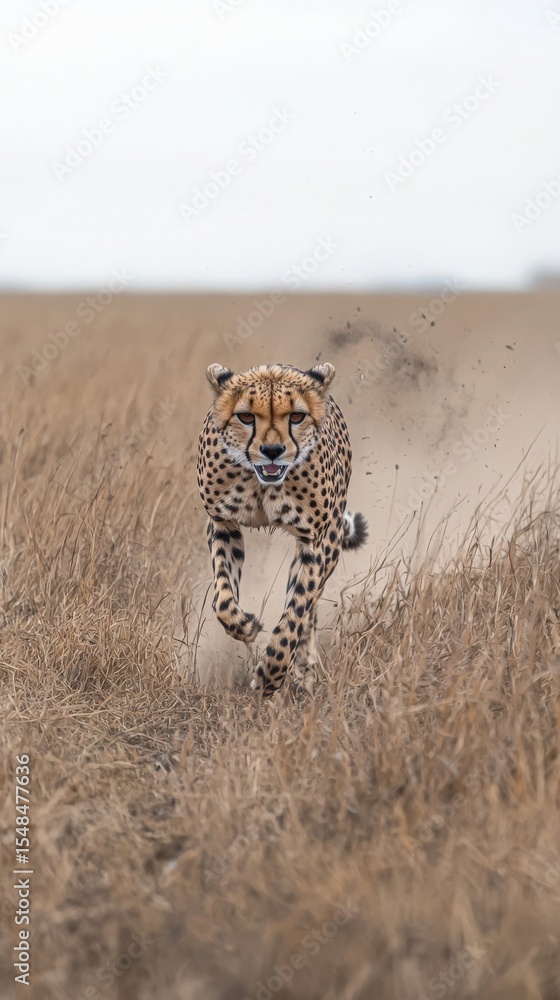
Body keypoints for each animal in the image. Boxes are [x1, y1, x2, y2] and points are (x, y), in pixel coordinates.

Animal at [196, 362, 368, 697]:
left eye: (297, 417)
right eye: (246, 417)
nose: (272, 450)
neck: (261, 482)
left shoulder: (315, 543)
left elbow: (296, 612)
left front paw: (271, 675)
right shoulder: (223, 524)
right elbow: (222, 599)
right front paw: (247, 626)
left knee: (307, 611)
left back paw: (303, 667)